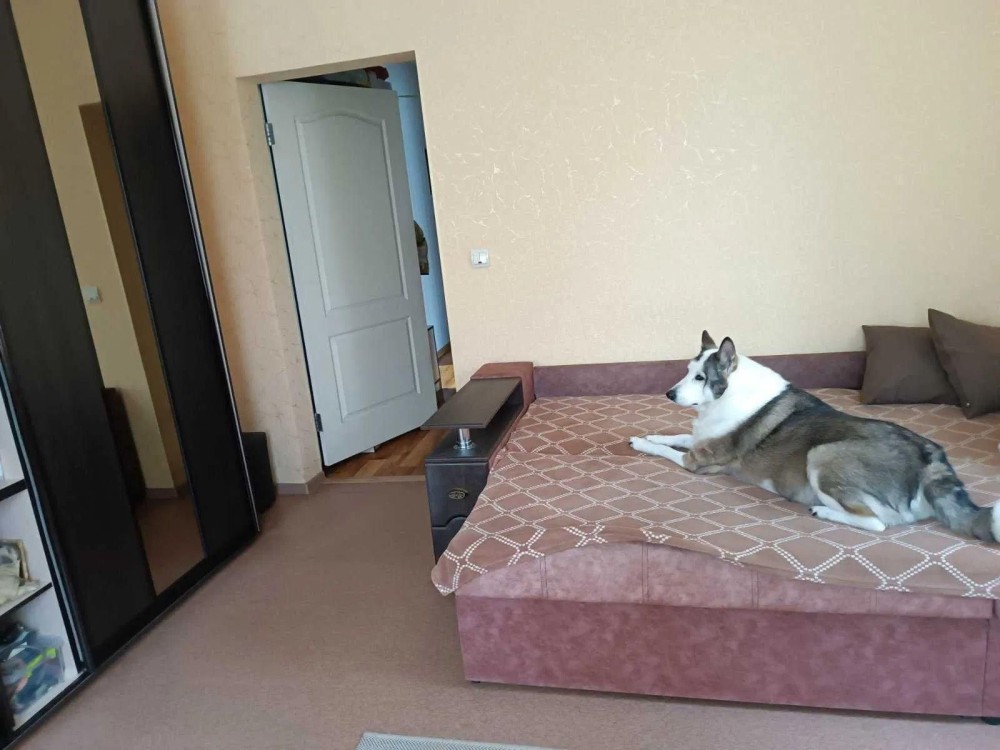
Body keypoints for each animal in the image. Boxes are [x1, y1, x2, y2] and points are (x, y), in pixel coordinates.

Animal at [630, 331, 1000, 542]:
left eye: (701, 378)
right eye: (687, 371)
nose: (668, 394)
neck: (727, 394)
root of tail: (930, 459)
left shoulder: (699, 459)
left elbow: (671, 451)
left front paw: (641, 443)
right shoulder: (700, 439)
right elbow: (676, 435)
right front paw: (653, 434)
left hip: (823, 454)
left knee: (878, 523)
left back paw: (823, 511)